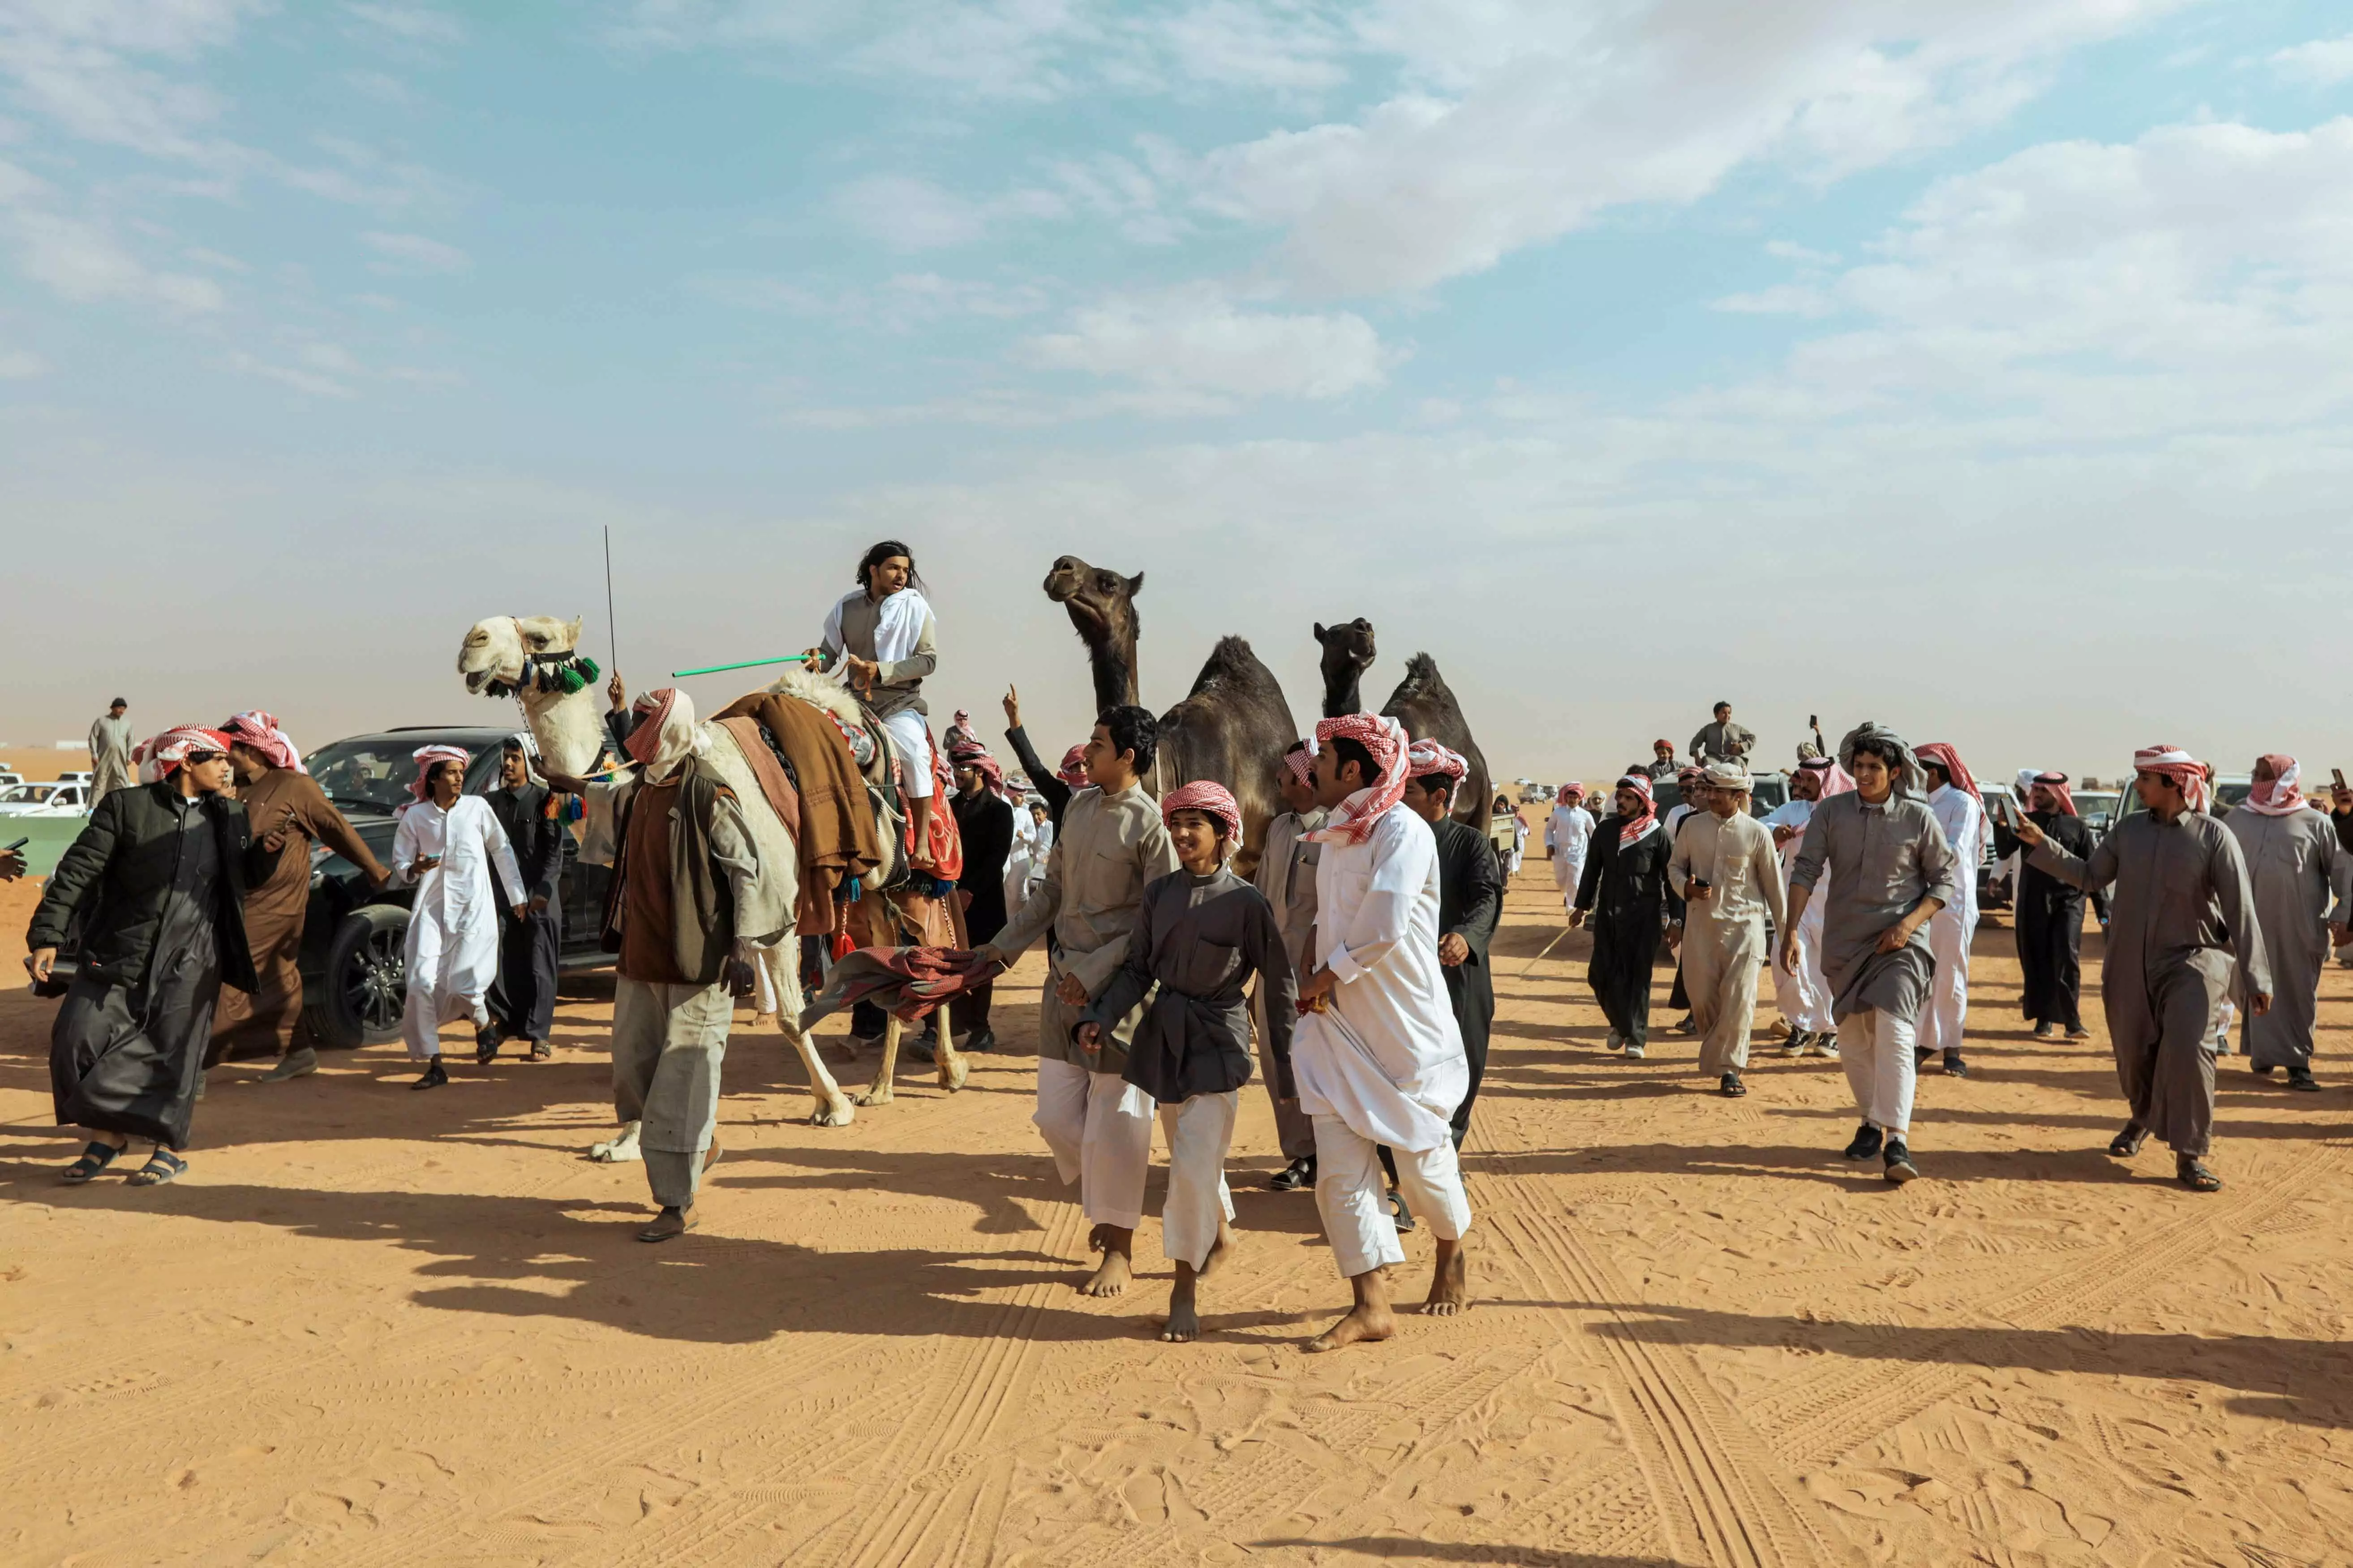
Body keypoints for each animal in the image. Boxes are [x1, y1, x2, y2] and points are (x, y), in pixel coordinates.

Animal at [454, 611, 960, 1142]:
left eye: (540, 636)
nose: (472, 643)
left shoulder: (774, 905)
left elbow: (791, 1017)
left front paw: (832, 1104)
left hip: (916, 877)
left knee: (936, 943)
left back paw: (948, 1067)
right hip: (869, 895)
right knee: (900, 958)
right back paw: (883, 1086)